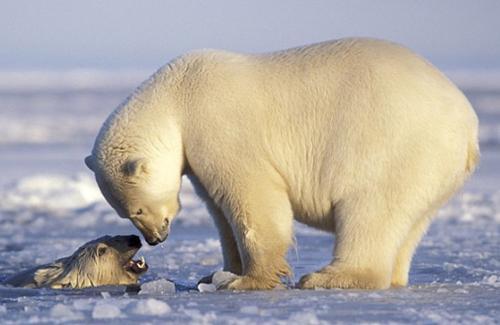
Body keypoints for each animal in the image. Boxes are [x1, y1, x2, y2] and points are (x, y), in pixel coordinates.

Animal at [84, 37, 478, 288]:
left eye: (135, 210)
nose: (155, 239)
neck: (176, 95)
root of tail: (468, 124)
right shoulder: (196, 154)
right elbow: (220, 211)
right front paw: (216, 274)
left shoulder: (219, 124)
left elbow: (253, 198)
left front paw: (248, 280)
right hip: (431, 170)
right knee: (408, 223)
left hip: (395, 145)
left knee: (370, 209)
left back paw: (328, 277)